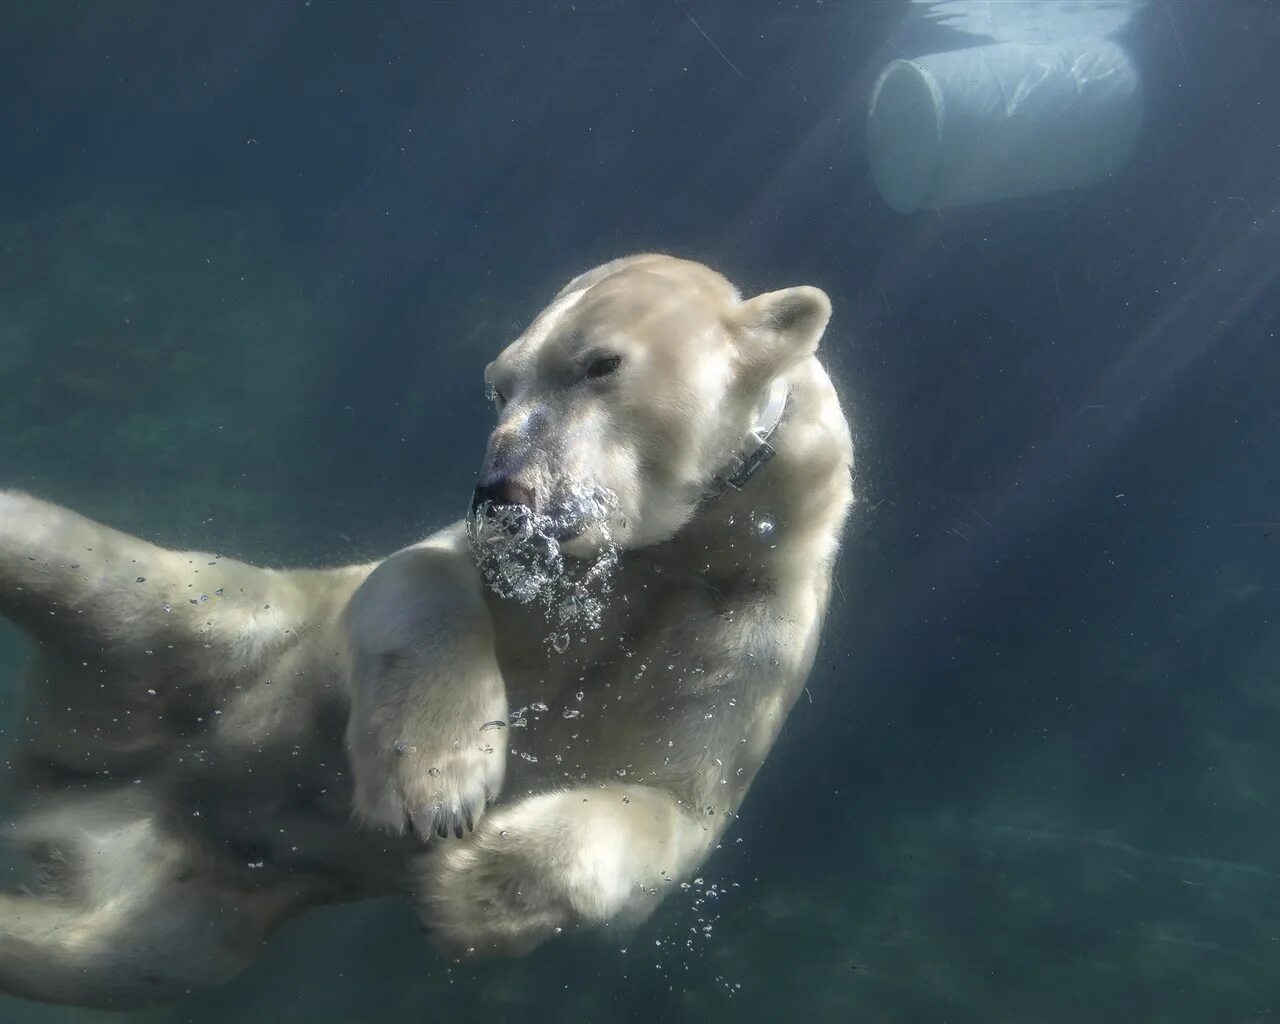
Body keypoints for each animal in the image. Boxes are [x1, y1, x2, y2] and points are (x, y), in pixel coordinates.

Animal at [0, 253, 849, 1008]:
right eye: (498, 384)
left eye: (601, 363)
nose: (502, 490)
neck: (672, 561)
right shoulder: (496, 570)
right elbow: (415, 576)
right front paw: (440, 788)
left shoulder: (743, 638)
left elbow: (668, 811)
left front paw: (471, 888)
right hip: (225, 618)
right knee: (70, 558)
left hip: (201, 903)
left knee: (111, 954)